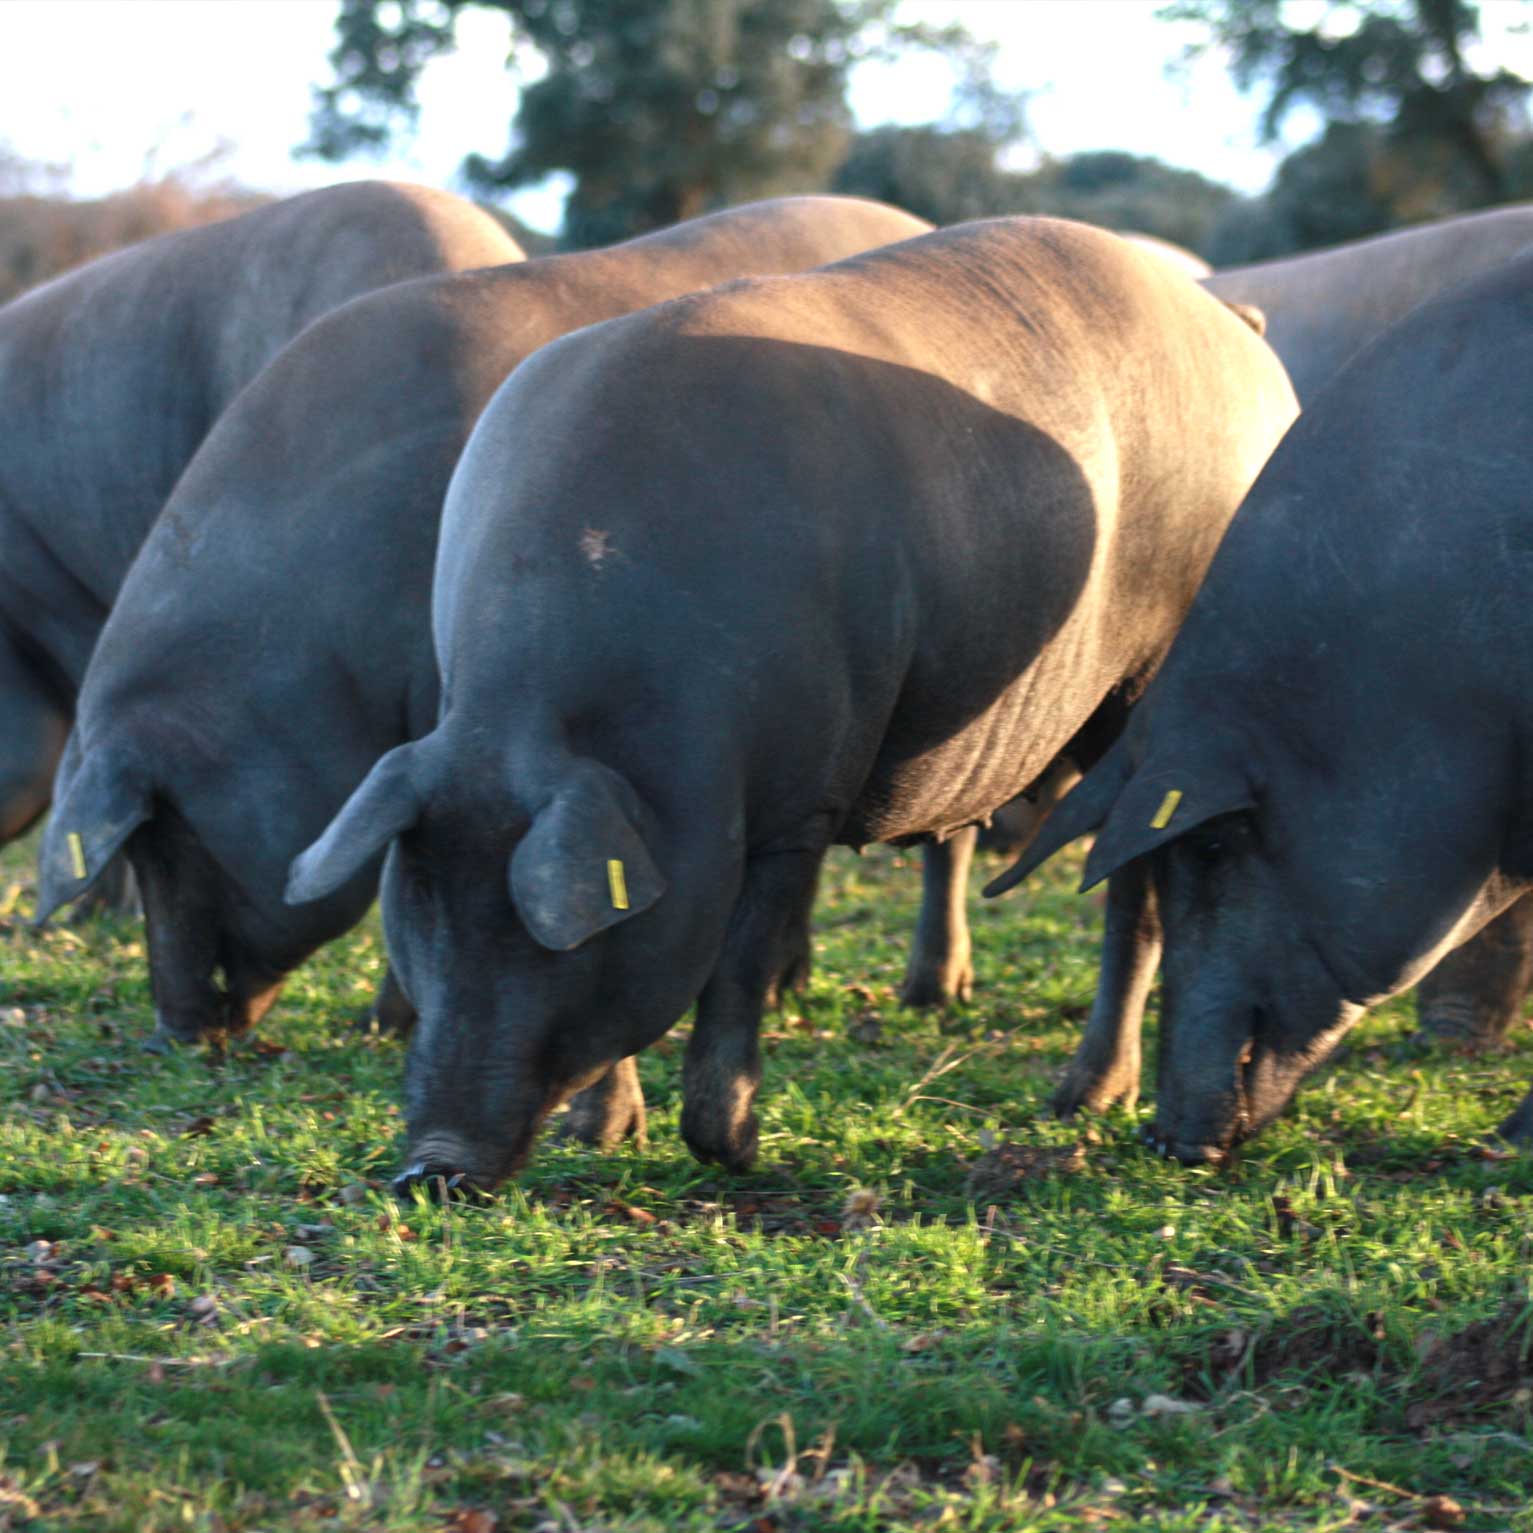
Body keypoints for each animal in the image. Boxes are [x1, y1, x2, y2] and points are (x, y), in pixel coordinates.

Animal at [285, 219, 1293, 1195]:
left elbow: (736, 967)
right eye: (421, 914)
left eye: (536, 939)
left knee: (1134, 889)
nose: (431, 1167)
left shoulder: (800, 797)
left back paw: (1080, 1102)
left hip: (1145, 684)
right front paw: (602, 1134)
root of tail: (1241, 337)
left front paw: (734, 1153)